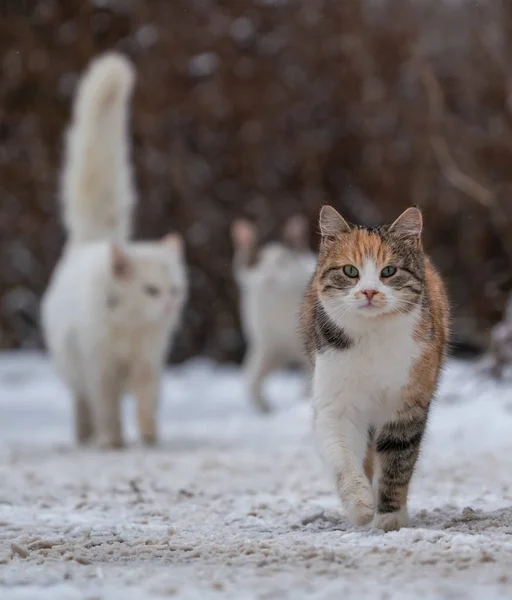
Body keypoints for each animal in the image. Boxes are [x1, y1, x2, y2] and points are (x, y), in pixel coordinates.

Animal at [41, 51, 187, 448]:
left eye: (175, 290)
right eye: (151, 290)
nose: (169, 305)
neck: (130, 328)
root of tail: (91, 242)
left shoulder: (149, 365)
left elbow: (147, 404)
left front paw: (149, 435)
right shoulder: (100, 370)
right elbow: (106, 409)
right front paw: (113, 441)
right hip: (75, 371)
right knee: (83, 406)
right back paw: (87, 437)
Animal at [232, 216, 316, 412]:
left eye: (282, 261)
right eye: (257, 261)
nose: (270, 279)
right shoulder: (268, 346)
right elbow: (252, 378)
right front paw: (264, 407)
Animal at [300, 205, 448, 528]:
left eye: (389, 271)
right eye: (350, 271)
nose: (369, 292)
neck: (371, 337)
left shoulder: (408, 401)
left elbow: (397, 460)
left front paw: (390, 518)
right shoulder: (335, 401)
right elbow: (342, 453)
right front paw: (360, 504)